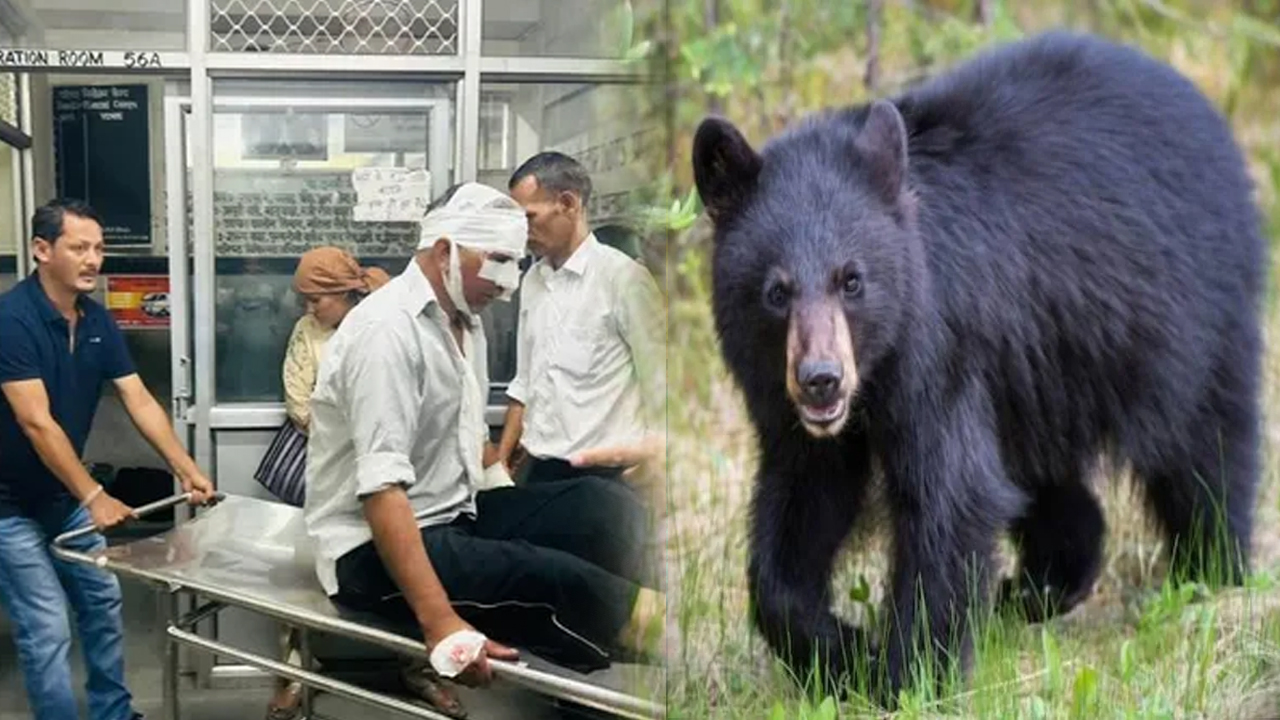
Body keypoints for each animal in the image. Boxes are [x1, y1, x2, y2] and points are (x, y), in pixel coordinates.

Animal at [690, 30, 1266, 704]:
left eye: (852, 280)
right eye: (776, 292)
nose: (821, 380)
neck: (876, 373)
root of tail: (1206, 111)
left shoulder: (940, 355)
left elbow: (950, 498)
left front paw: (909, 675)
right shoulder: (791, 411)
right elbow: (802, 506)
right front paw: (840, 652)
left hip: (1191, 316)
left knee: (1206, 446)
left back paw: (1211, 570)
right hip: (1042, 374)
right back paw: (1040, 586)